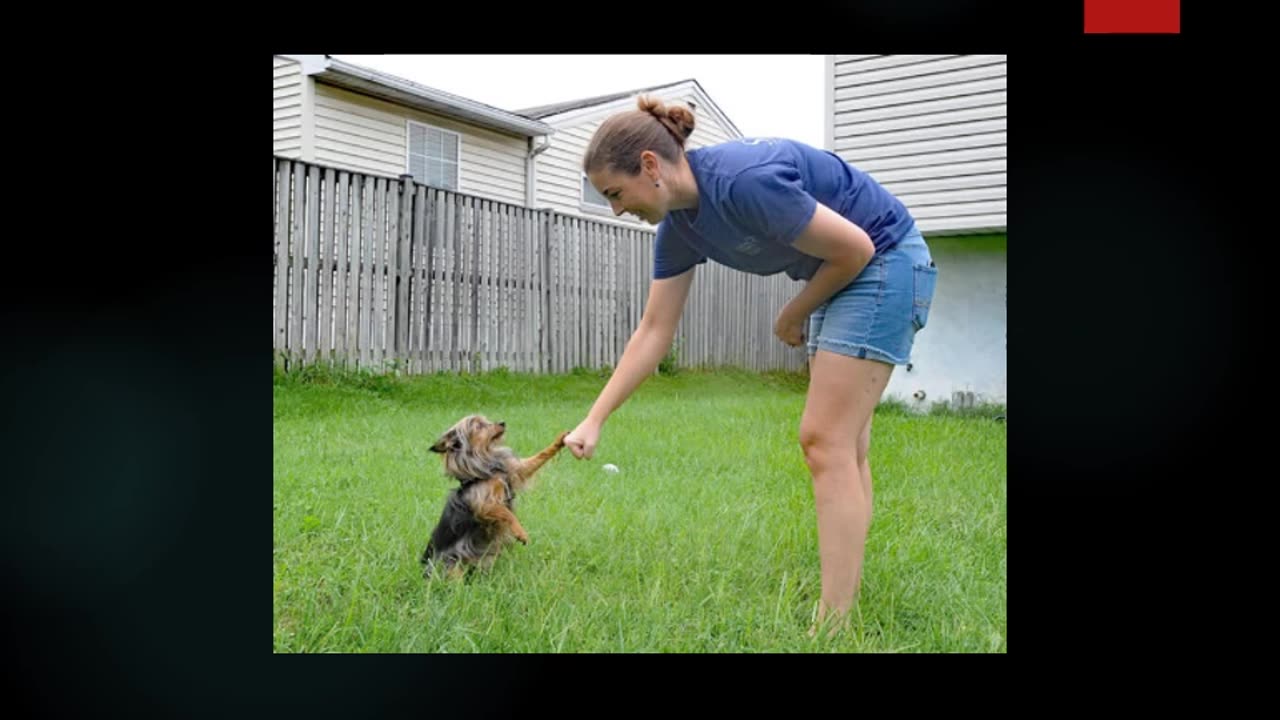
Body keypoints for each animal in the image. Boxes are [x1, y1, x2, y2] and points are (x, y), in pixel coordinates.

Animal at [419, 415, 565, 576]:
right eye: (478, 426)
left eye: (487, 420)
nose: (502, 422)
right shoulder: (485, 505)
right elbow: (506, 513)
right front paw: (520, 532)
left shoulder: (514, 471)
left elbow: (538, 457)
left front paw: (560, 440)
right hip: (452, 565)